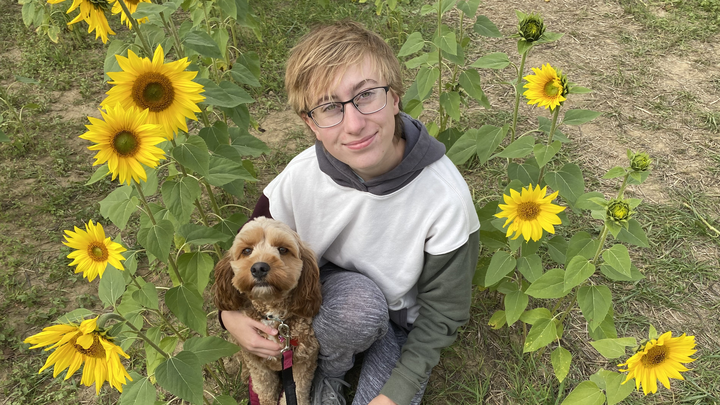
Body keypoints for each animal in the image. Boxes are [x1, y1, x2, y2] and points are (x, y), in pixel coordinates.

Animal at [213, 217, 322, 405]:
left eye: (283, 249)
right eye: (247, 250)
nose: (259, 268)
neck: (274, 316)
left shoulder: (305, 360)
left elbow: (297, 392)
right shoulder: (258, 365)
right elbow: (265, 391)